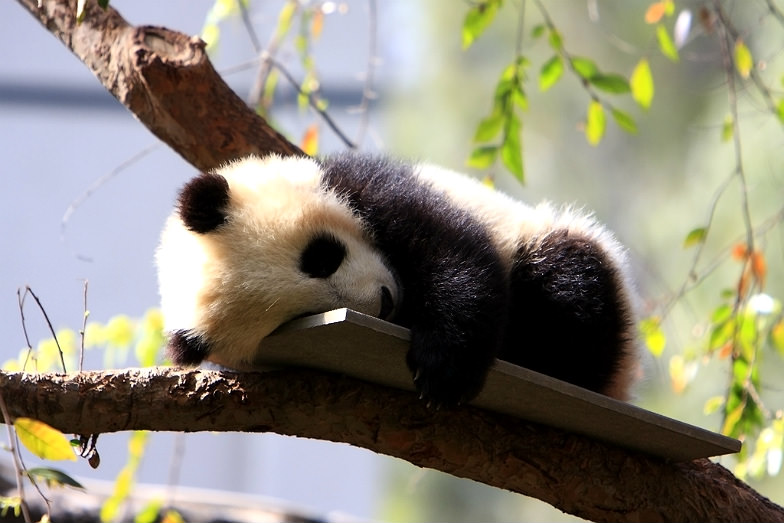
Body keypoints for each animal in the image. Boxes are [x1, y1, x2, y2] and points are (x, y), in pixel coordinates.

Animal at [156, 151, 640, 406]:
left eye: (321, 257)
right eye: (302, 316)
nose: (385, 303)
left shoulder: (369, 186)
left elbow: (454, 253)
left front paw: (444, 369)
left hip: (547, 240)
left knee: (568, 284)